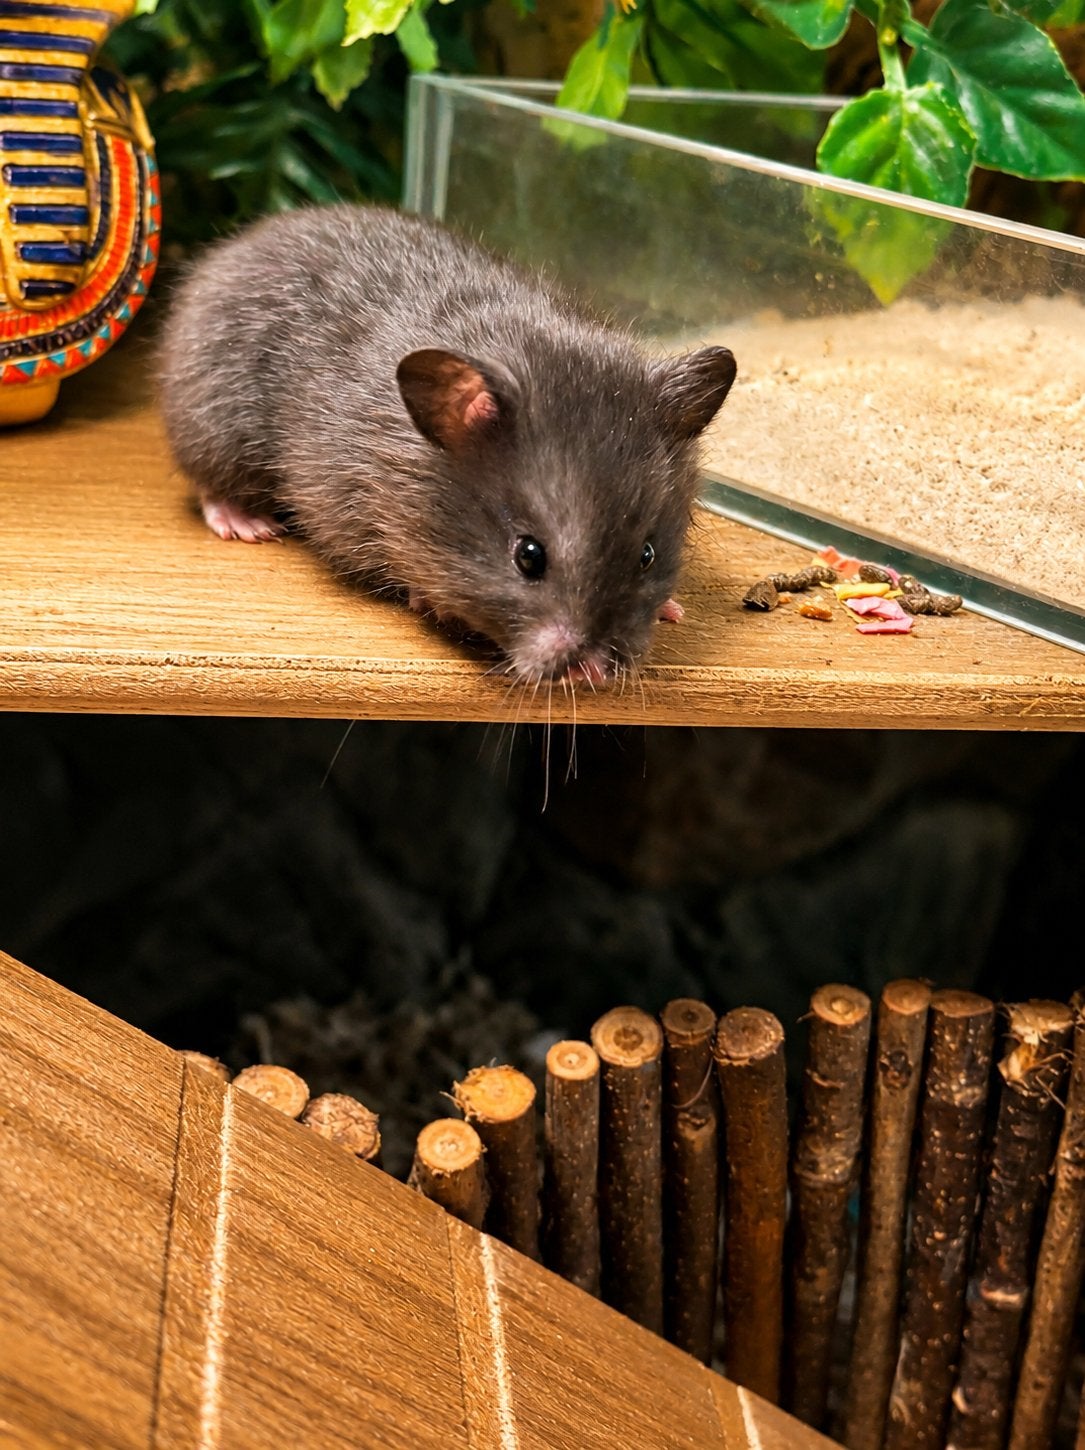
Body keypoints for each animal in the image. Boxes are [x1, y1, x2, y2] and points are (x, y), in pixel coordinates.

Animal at [157, 204, 736, 685]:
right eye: (529, 557)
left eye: (647, 555)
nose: (593, 674)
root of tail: (244, 241)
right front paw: (428, 602)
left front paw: (672, 608)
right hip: (213, 426)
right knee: (210, 487)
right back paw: (249, 526)